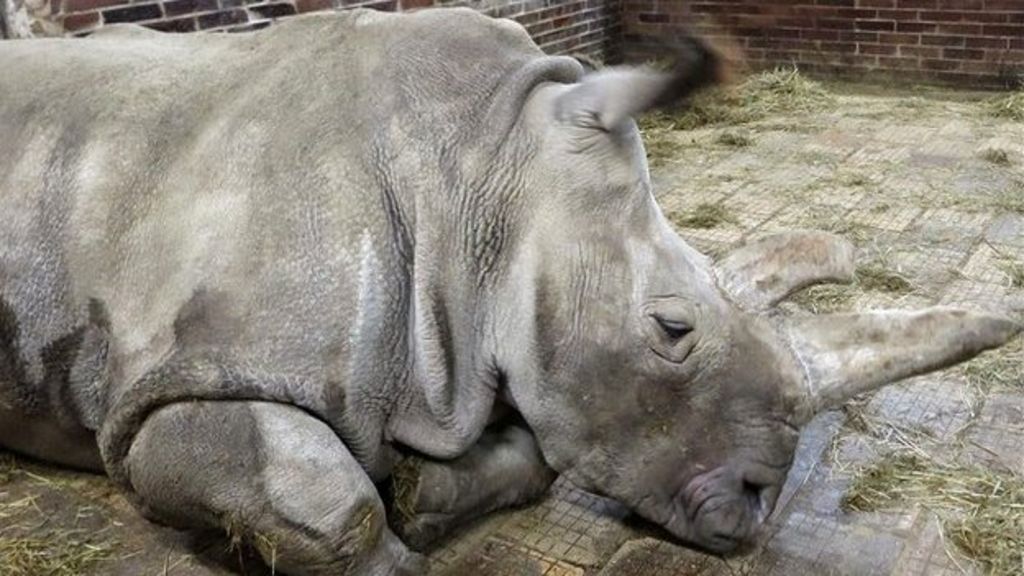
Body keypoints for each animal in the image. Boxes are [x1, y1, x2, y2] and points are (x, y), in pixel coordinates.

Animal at [0, 8, 1019, 575]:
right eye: (672, 328)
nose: (757, 506)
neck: (478, 172)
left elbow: (533, 451)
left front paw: (427, 492)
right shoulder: (168, 387)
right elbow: (334, 510)